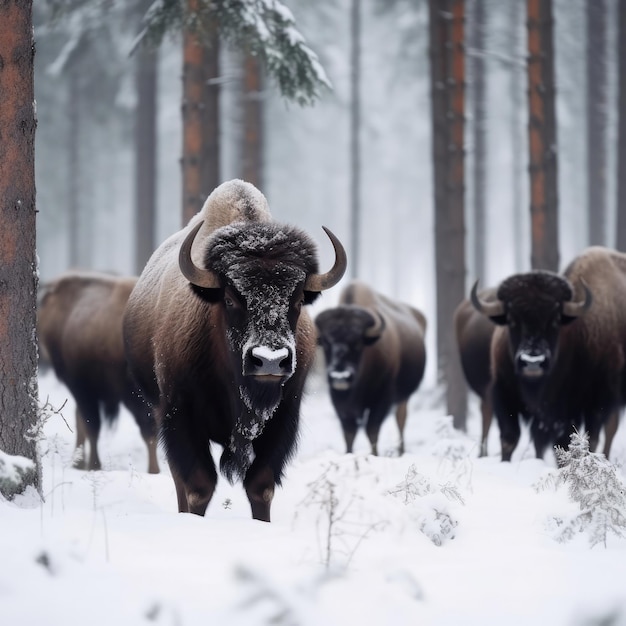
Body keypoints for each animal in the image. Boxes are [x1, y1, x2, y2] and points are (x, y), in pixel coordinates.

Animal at [122, 178, 346, 520]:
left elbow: (261, 486)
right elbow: (198, 485)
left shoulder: (283, 419)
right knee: (178, 477)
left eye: (296, 301)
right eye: (229, 299)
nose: (270, 361)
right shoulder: (180, 416)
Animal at [314, 282, 426, 454]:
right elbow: (349, 433)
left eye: (358, 343)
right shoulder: (340, 402)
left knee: (400, 419)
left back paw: (401, 451)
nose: (341, 376)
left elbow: (372, 430)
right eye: (326, 342)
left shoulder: (381, 400)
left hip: (403, 397)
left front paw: (374, 455)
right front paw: (348, 454)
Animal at [470, 246, 620, 460]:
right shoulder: (504, 393)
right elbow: (510, 438)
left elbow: (573, 440)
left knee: (608, 431)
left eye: (555, 320)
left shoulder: (590, 402)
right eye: (512, 320)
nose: (533, 362)